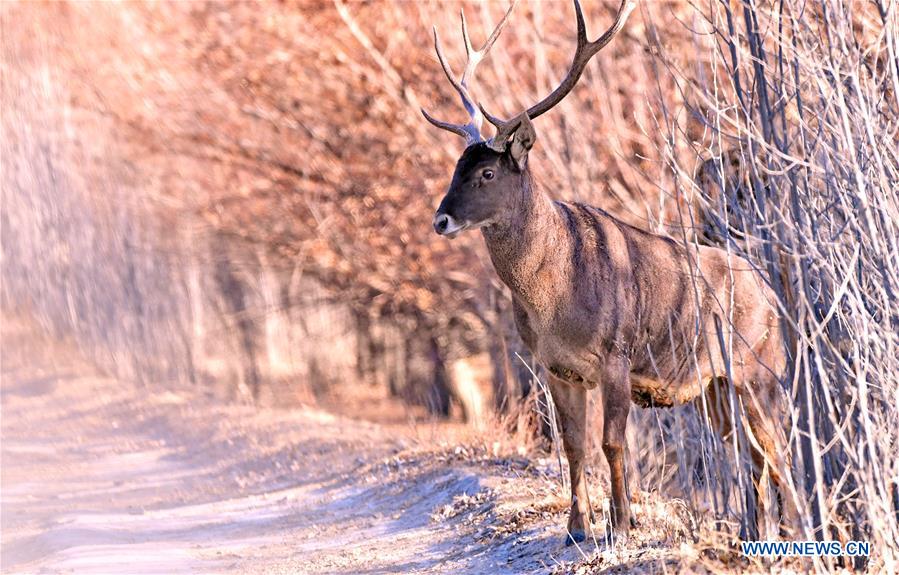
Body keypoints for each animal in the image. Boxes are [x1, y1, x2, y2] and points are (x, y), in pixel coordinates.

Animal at [422, 0, 796, 548]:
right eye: (455, 168)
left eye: (487, 173)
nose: (441, 220)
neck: (554, 295)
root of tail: (771, 294)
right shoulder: (554, 365)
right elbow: (574, 444)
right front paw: (577, 529)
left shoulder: (618, 351)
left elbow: (612, 442)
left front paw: (622, 524)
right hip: (715, 387)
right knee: (751, 455)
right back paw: (754, 535)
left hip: (761, 369)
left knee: (779, 450)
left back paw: (795, 533)